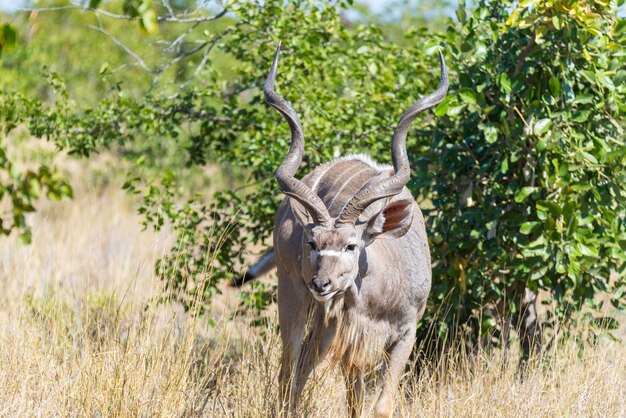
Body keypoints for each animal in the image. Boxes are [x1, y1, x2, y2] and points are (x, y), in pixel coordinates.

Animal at [251, 44, 446, 416]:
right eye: (312, 243)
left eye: (352, 245)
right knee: (290, 368)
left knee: (302, 368)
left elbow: (375, 404)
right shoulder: (346, 333)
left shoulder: (403, 335)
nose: (321, 284)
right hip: (294, 294)